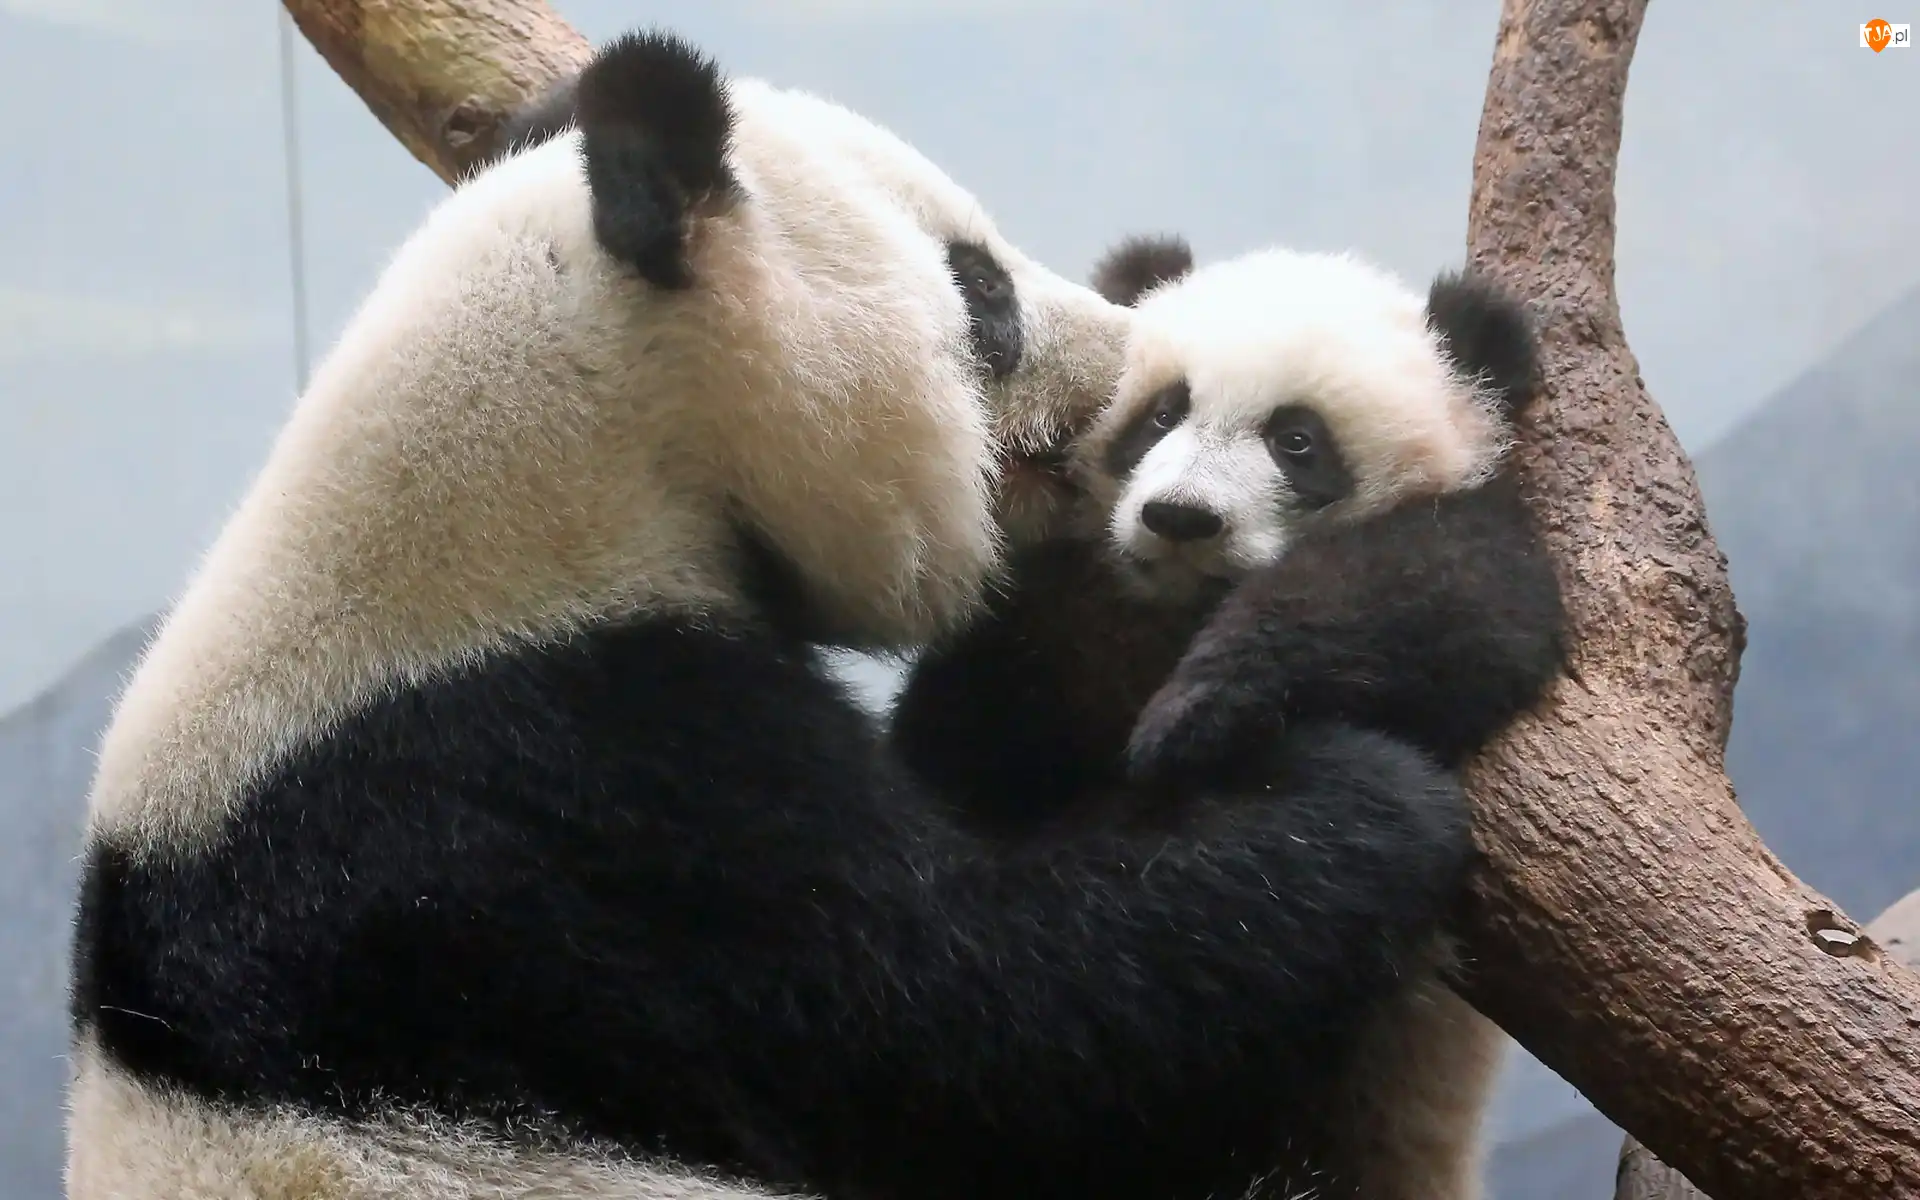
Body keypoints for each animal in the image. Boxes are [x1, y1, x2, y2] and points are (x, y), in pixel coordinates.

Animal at [893, 237, 1567, 1199]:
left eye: (1297, 440)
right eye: (1162, 413)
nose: (1180, 518)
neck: (1175, 614)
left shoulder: (1475, 541)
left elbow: (1450, 598)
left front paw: (1203, 708)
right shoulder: (1054, 627)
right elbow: (961, 750)